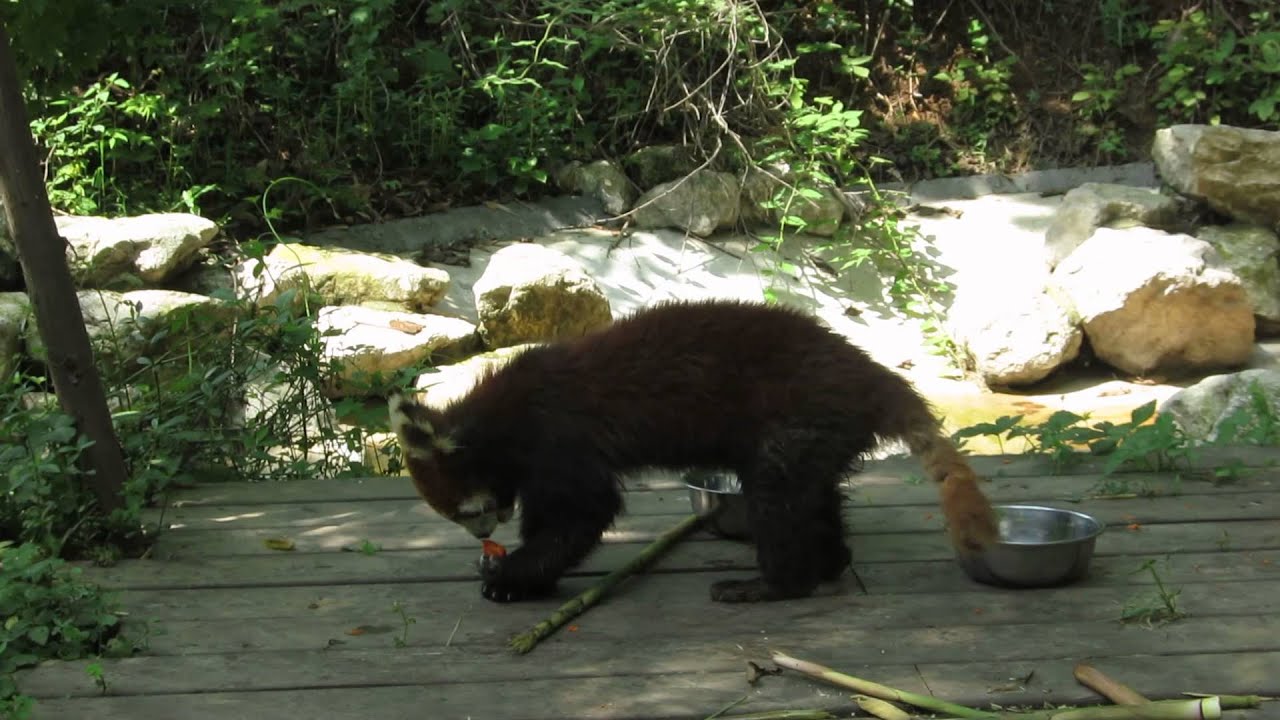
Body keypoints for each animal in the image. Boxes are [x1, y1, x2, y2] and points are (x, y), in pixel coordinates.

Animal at [388, 299, 998, 603]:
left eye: (470, 511)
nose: (482, 534)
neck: (503, 415)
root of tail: (871, 373)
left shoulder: (561, 440)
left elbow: (581, 516)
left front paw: (513, 574)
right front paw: (511, 568)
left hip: (796, 417)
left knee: (777, 500)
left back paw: (774, 584)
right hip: (817, 435)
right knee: (814, 497)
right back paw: (829, 562)